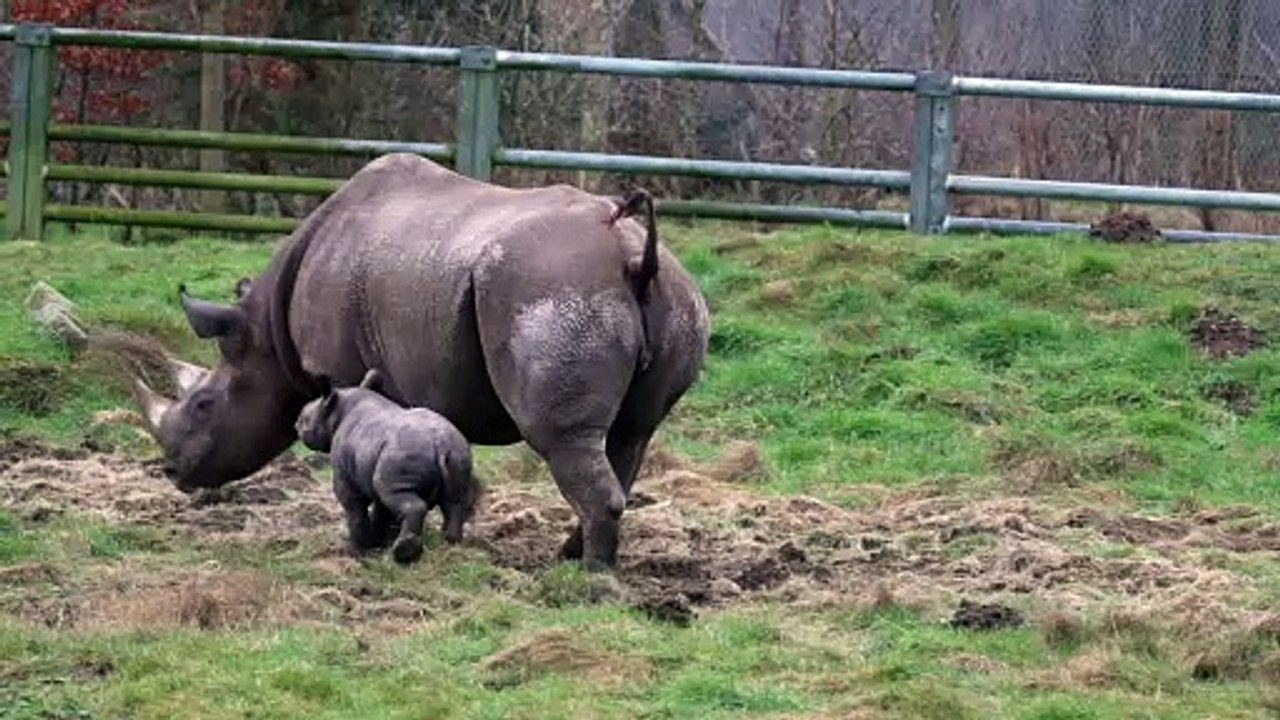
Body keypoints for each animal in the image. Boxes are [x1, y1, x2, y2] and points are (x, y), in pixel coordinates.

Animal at [129, 154, 710, 571]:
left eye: (204, 405)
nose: (172, 471)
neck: (263, 335)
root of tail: (633, 258)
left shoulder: (342, 375)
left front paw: (376, 542)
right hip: (673, 300)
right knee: (630, 437)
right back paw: (570, 555)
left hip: (553, 294)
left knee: (565, 438)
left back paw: (590, 578)